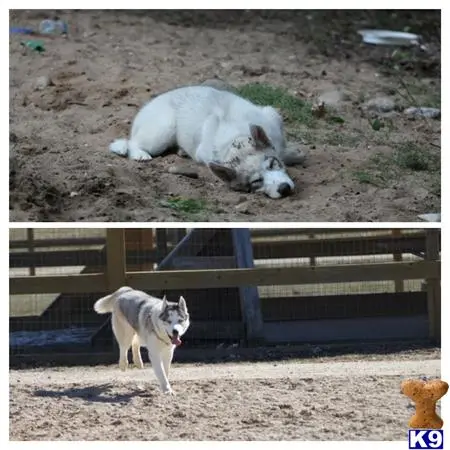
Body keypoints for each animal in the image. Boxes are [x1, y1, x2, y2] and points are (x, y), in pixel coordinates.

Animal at [109, 85, 306, 198]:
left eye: (272, 164)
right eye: (256, 181)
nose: (284, 189)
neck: (235, 137)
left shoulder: (271, 117)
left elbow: (284, 150)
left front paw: (293, 154)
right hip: (162, 130)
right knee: (133, 142)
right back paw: (140, 154)